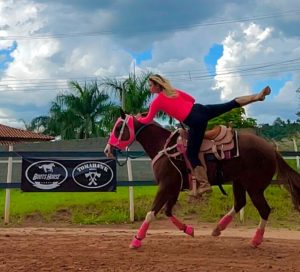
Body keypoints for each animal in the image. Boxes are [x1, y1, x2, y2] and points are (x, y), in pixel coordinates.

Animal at [103, 110, 300, 249]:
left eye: (118, 128)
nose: (108, 149)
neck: (165, 147)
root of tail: (271, 149)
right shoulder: (174, 187)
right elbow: (167, 211)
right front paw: (188, 229)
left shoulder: (166, 185)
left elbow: (152, 212)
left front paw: (136, 240)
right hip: (240, 182)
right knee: (239, 203)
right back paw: (217, 228)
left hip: (255, 187)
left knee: (264, 210)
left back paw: (255, 240)